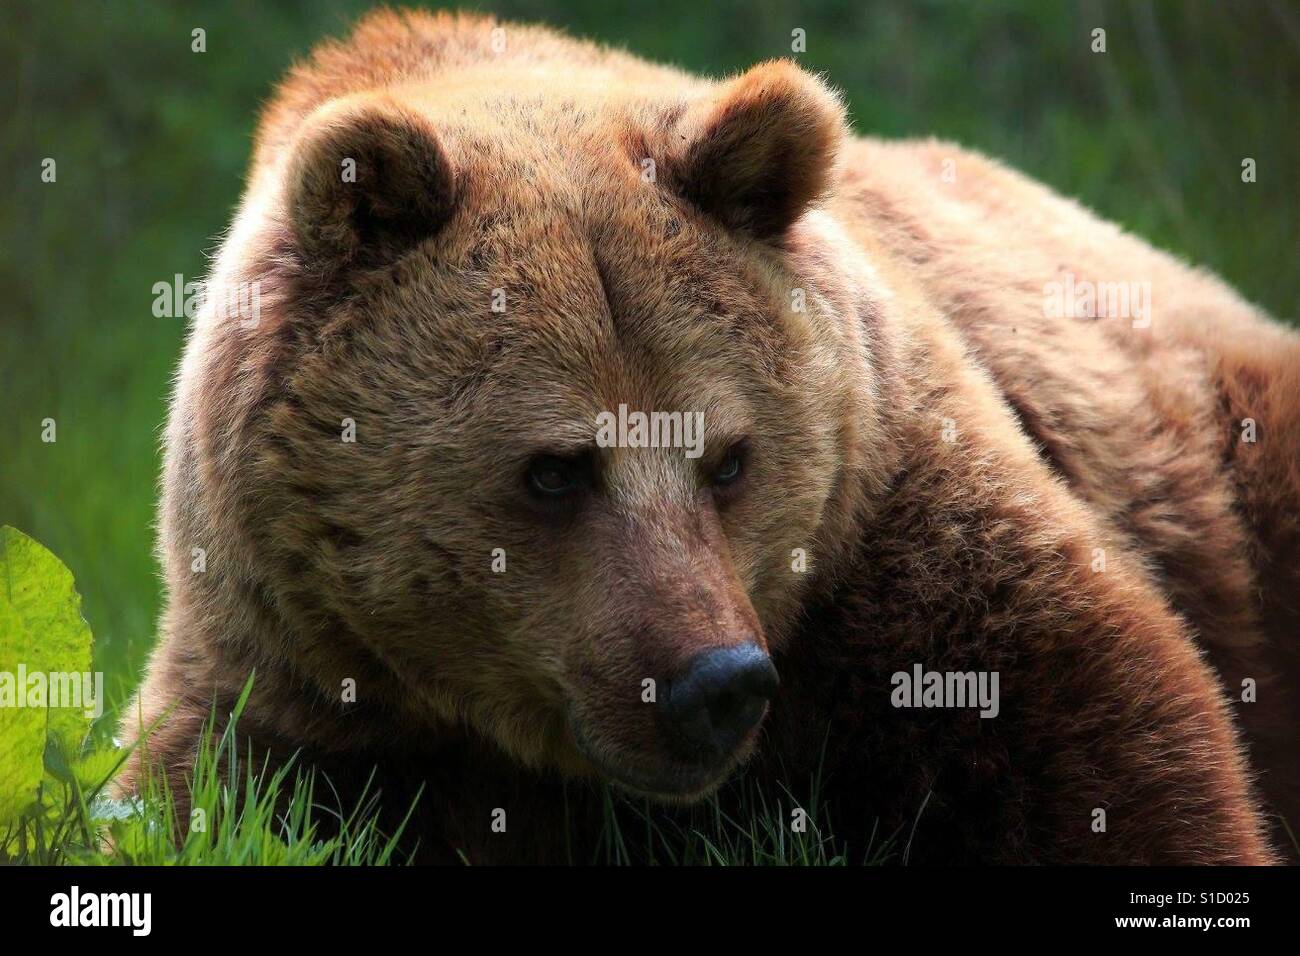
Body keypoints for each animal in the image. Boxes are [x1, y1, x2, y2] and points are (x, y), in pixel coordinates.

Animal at [118, 8, 1300, 865]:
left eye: (728, 457)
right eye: (555, 469)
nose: (713, 681)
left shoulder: (888, 529)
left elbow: (1102, 742)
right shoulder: (296, 676)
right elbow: (191, 797)